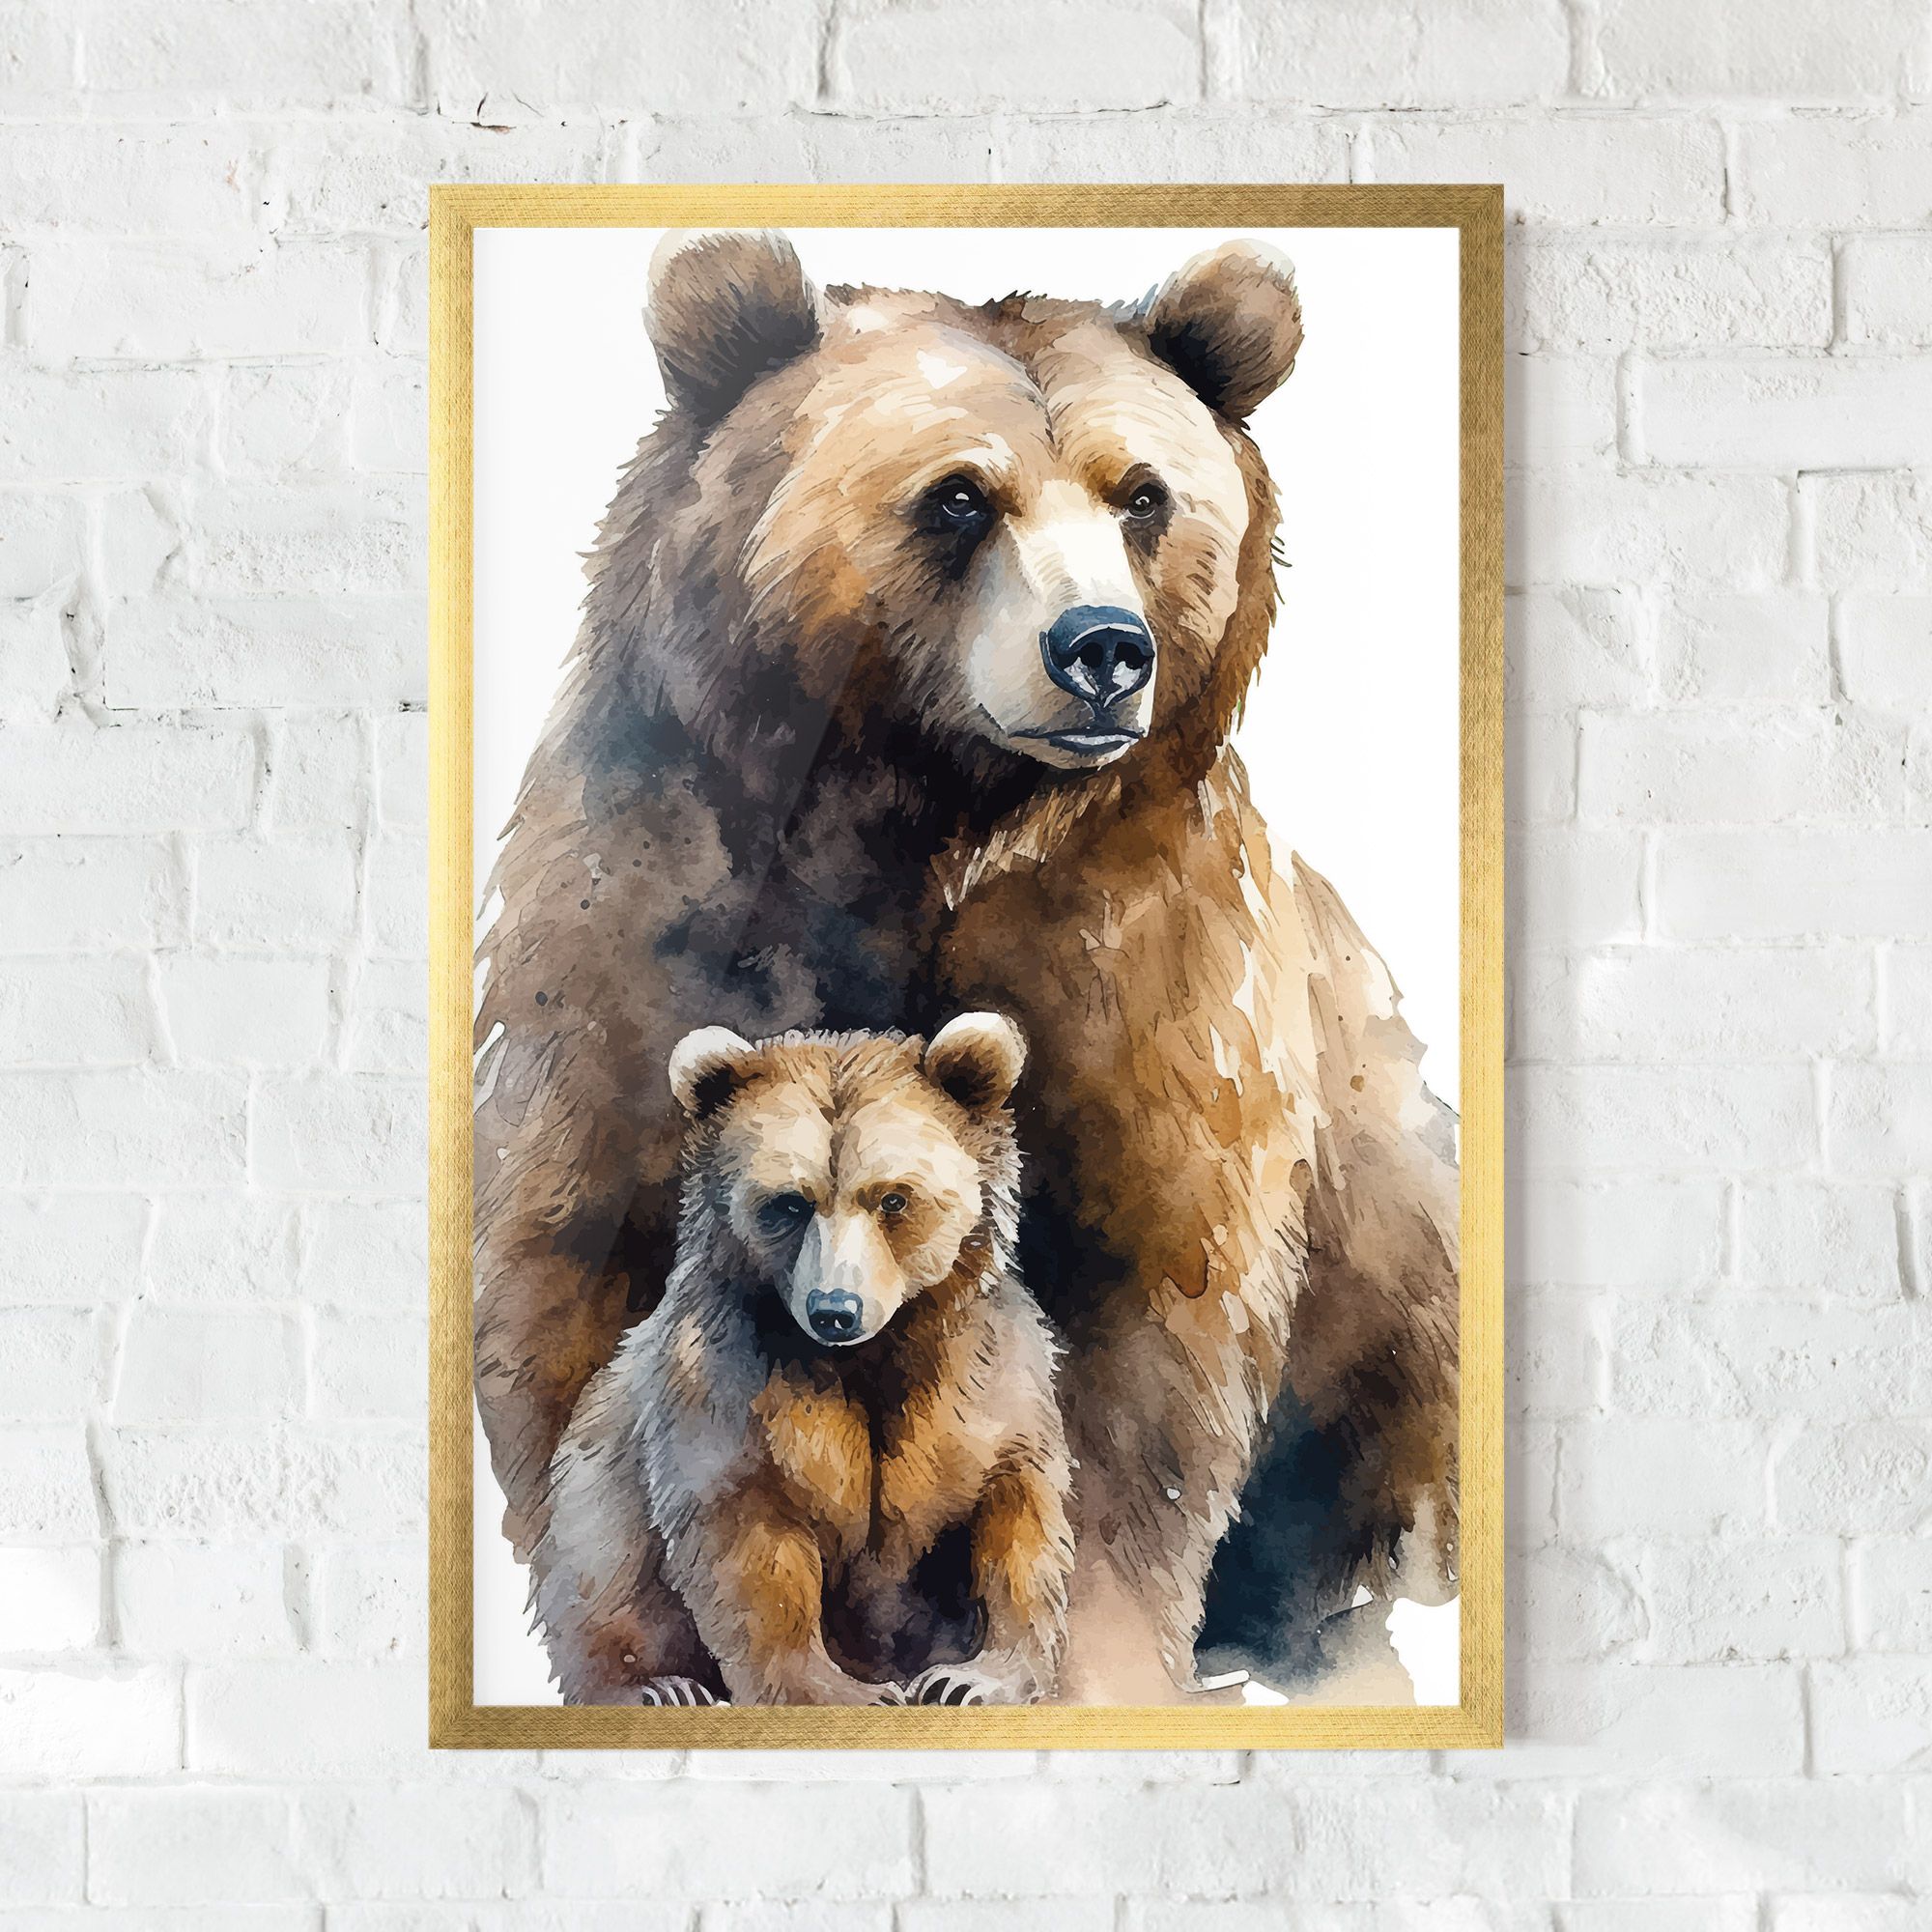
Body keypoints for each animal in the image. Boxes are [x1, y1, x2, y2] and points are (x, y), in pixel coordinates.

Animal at [531, 1012, 1074, 1708]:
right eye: (788, 1202)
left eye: (893, 1199)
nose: (834, 1309)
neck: (869, 1357)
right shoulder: (727, 1389)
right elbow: (752, 1545)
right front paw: (842, 1691)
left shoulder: (984, 1380)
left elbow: (1016, 1519)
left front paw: (973, 1677)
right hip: (593, 1474)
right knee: (599, 1568)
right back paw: (657, 1686)